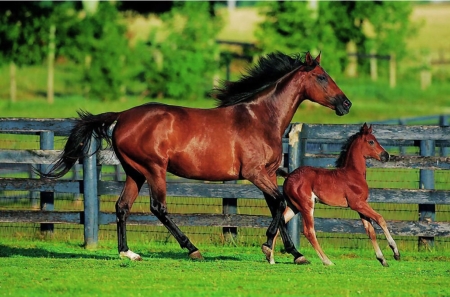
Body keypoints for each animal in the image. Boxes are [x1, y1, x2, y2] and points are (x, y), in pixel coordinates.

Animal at [40, 51, 352, 262]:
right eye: (322, 77)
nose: (346, 104)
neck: (261, 118)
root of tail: (124, 115)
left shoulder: (268, 173)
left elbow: (277, 204)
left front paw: (294, 253)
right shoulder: (254, 173)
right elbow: (280, 202)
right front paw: (271, 248)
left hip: (135, 172)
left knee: (122, 207)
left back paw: (128, 253)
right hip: (154, 169)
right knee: (158, 208)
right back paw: (192, 249)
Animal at [270, 122, 400, 266]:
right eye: (371, 141)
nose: (386, 156)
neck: (353, 174)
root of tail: (288, 176)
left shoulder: (360, 206)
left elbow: (370, 231)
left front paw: (382, 259)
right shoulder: (357, 204)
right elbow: (380, 219)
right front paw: (395, 252)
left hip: (294, 206)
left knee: (279, 224)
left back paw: (270, 258)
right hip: (306, 205)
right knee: (309, 231)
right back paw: (327, 261)